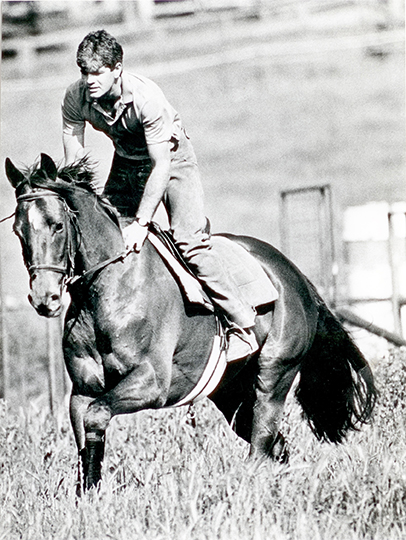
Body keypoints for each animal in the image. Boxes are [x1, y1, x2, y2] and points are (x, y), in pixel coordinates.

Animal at [5, 154, 378, 492]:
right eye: (18, 230)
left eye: (56, 224)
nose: (44, 298)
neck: (108, 288)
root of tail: (295, 276)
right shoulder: (83, 390)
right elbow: (86, 433)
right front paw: (88, 496)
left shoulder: (152, 383)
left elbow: (97, 416)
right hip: (232, 393)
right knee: (275, 445)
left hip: (274, 375)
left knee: (262, 440)